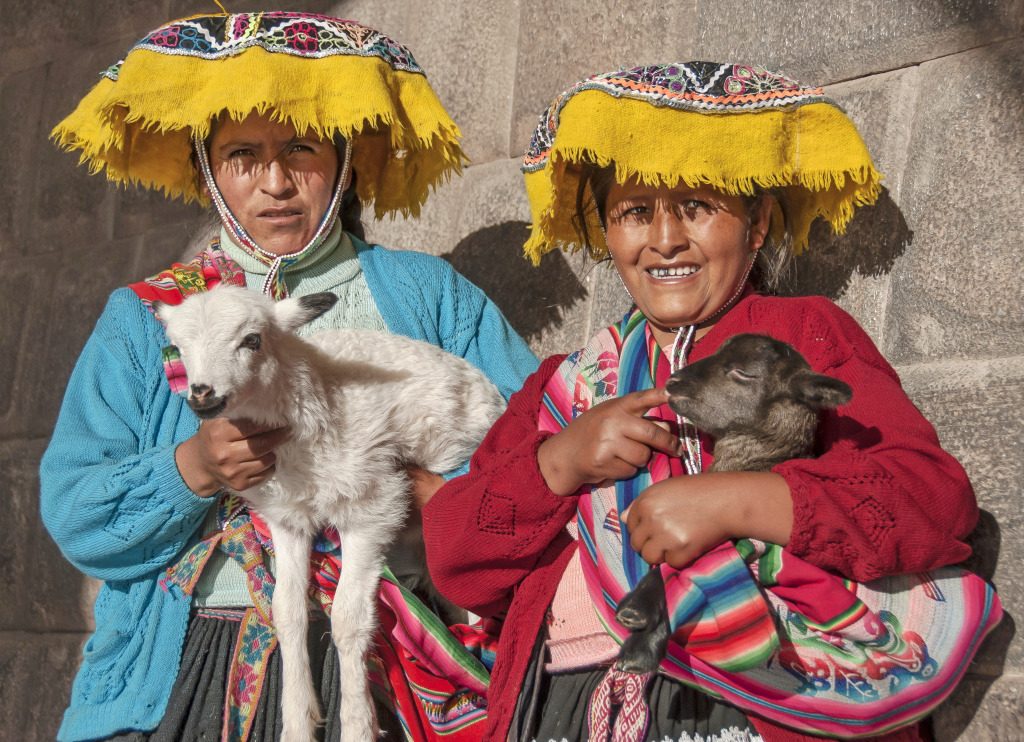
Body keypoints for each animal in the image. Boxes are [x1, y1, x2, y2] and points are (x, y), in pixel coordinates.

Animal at [156, 284, 507, 740]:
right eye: (177, 349)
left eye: (251, 340)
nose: (201, 395)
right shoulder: (287, 519)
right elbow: (287, 612)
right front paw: (297, 720)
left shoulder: (372, 506)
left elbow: (347, 619)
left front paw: (357, 722)